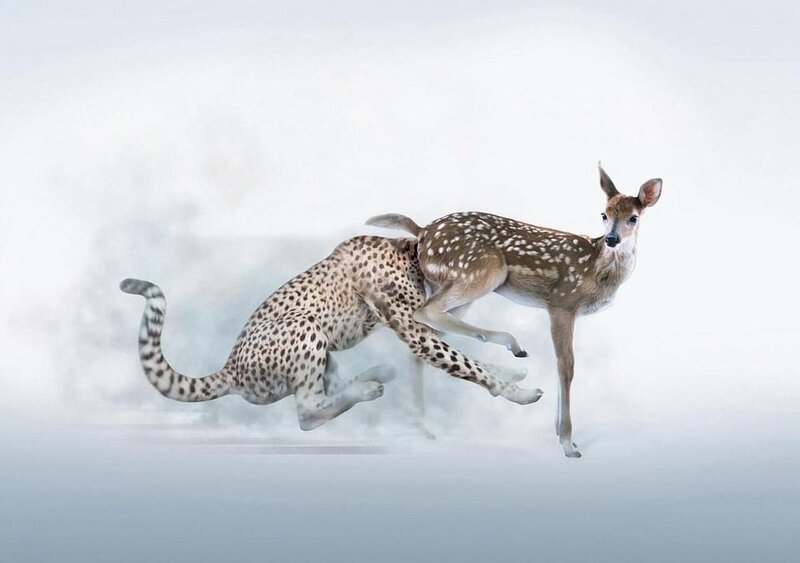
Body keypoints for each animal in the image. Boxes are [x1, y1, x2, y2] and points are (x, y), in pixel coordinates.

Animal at [367, 164, 662, 457]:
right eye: (604, 214)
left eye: (633, 218)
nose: (612, 239)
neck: (596, 268)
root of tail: (422, 231)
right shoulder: (562, 302)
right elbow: (566, 365)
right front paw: (568, 443)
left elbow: (561, 365)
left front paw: (562, 435)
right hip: (483, 271)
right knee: (424, 313)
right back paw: (512, 345)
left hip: (453, 285)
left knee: (424, 339)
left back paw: (422, 426)